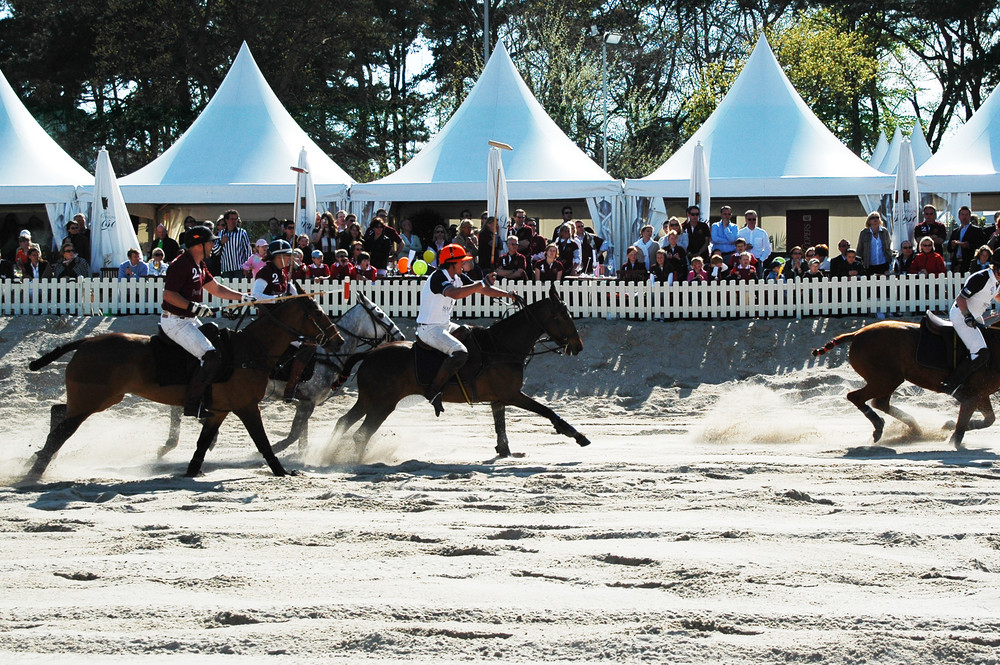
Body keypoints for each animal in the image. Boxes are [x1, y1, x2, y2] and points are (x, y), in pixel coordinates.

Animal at [25, 296, 344, 478]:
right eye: (317, 313)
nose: (339, 340)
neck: (250, 351)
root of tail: (86, 342)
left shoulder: (220, 410)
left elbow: (203, 442)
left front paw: (192, 470)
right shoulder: (246, 406)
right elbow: (262, 441)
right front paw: (282, 471)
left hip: (100, 398)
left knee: (58, 411)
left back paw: (37, 457)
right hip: (94, 398)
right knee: (63, 429)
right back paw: (37, 469)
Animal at [332, 282, 588, 460]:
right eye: (564, 316)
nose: (578, 346)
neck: (502, 347)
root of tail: (370, 354)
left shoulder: (498, 399)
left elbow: (501, 426)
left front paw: (505, 451)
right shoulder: (512, 395)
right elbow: (547, 410)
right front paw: (577, 435)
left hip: (368, 400)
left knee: (344, 421)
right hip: (383, 404)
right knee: (360, 434)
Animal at [812, 318, 1000, 452]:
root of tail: (857, 333)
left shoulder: (981, 395)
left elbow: (989, 420)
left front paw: (948, 425)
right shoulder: (972, 395)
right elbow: (964, 425)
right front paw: (952, 437)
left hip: (887, 379)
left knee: (879, 402)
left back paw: (914, 429)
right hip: (885, 379)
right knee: (857, 397)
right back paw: (879, 427)